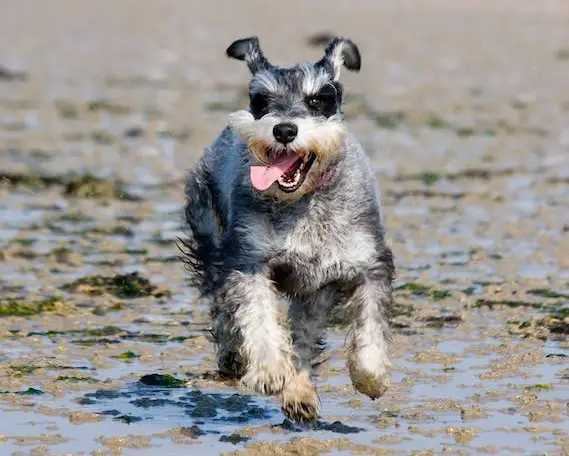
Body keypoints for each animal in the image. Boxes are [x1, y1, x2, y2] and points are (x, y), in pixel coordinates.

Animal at [180, 35, 392, 424]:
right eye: (261, 99)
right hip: (212, 243)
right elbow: (258, 318)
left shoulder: (369, 264)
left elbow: (370, 325)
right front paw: (267, 372)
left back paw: (300, 394)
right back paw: (235, 358)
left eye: (318, 98)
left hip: (314, 291)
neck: (304, 202)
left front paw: (371, 377)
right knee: (223, 308)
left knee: (304, 340)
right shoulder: (248, 260)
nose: (284, 130)